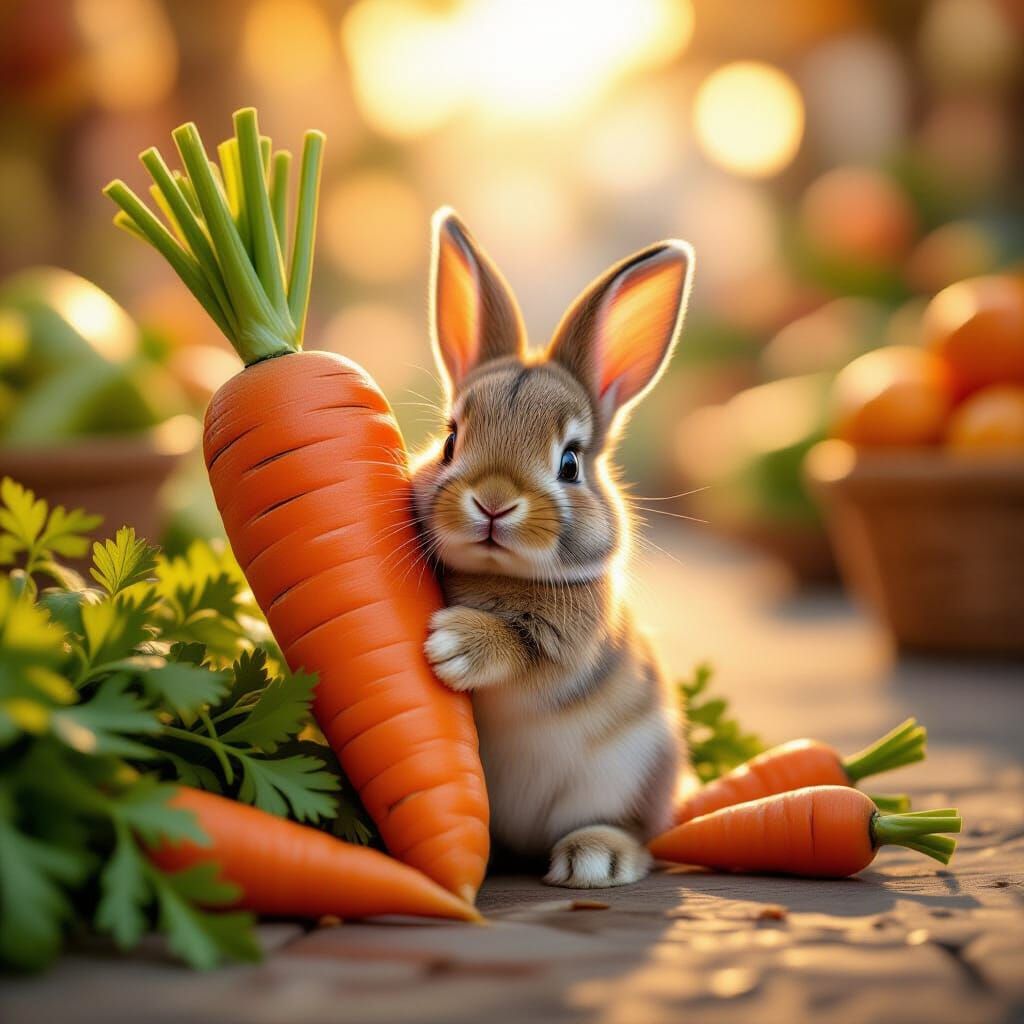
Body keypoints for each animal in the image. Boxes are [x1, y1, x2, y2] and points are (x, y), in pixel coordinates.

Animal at [409, 207, 695, 888]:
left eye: (570, 462)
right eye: (450, 441)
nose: (492, 502)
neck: (496, 575)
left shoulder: (571, 644)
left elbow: (524, 649)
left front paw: (453, 645)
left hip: (636, 772)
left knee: (638, 833)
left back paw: (594, 859)